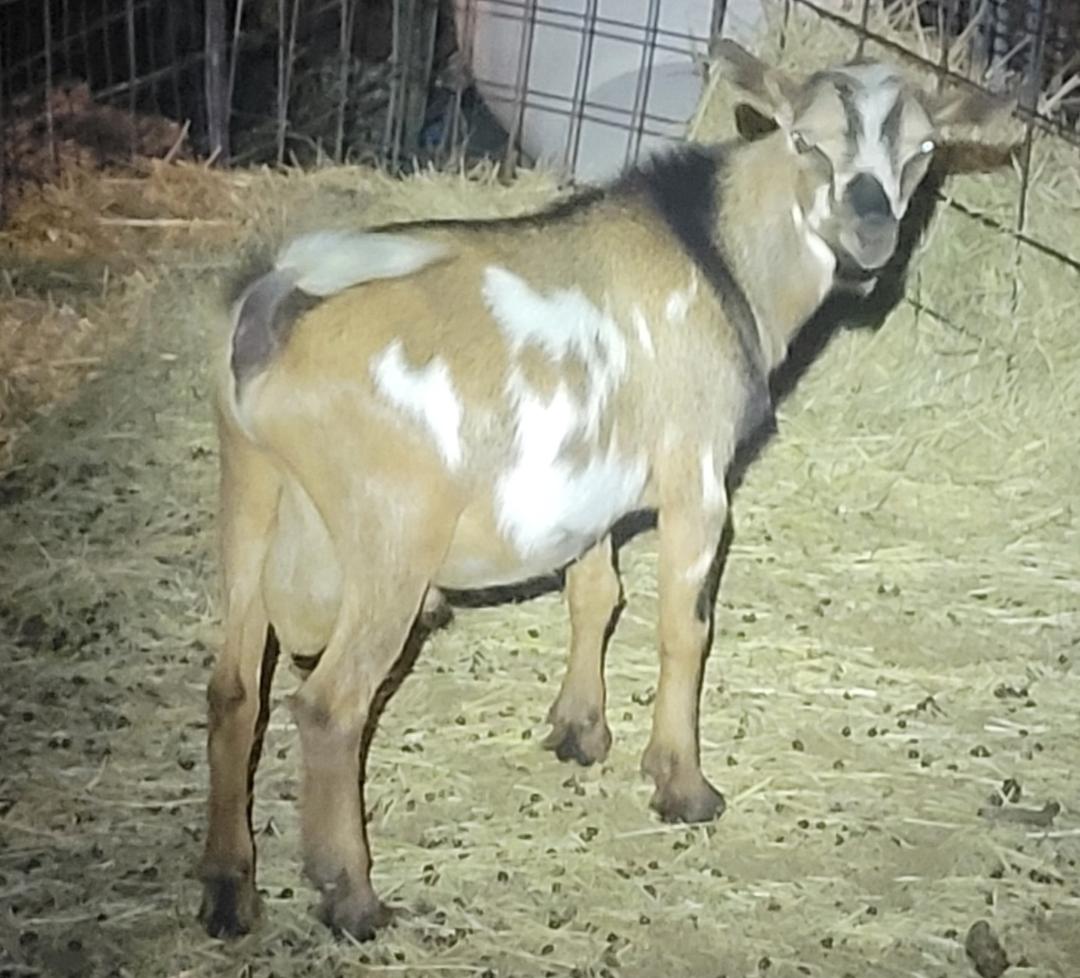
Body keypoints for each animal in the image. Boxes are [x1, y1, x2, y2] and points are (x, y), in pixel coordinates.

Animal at [198, 41, 1000, 940]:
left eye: (924, 151)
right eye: (805, 141)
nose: (870, 234)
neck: (715, 254)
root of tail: (272, 307)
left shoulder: (590, 490)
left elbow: (595, 595)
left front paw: (579, 731)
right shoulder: (697, 476)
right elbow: (684, 630)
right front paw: (683, 785)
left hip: (248, 491)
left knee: (233, 687)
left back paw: (229, 889)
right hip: (390, 534)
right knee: (331, 705)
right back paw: (352, 897)